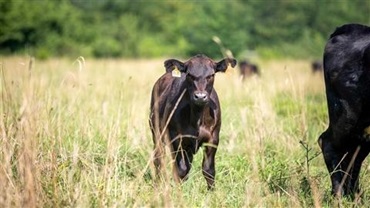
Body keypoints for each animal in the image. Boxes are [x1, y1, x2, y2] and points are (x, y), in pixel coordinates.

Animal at [149, 54, 236, 190]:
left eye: (211, 75)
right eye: (189, 75)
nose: (200, 96)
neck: (197, 119)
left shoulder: (213, 139)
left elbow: (208, 170)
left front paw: (212, 191)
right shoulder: (176, 138)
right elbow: (181, 170)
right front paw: (180, 191)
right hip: (156, 131)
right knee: (159, 157)